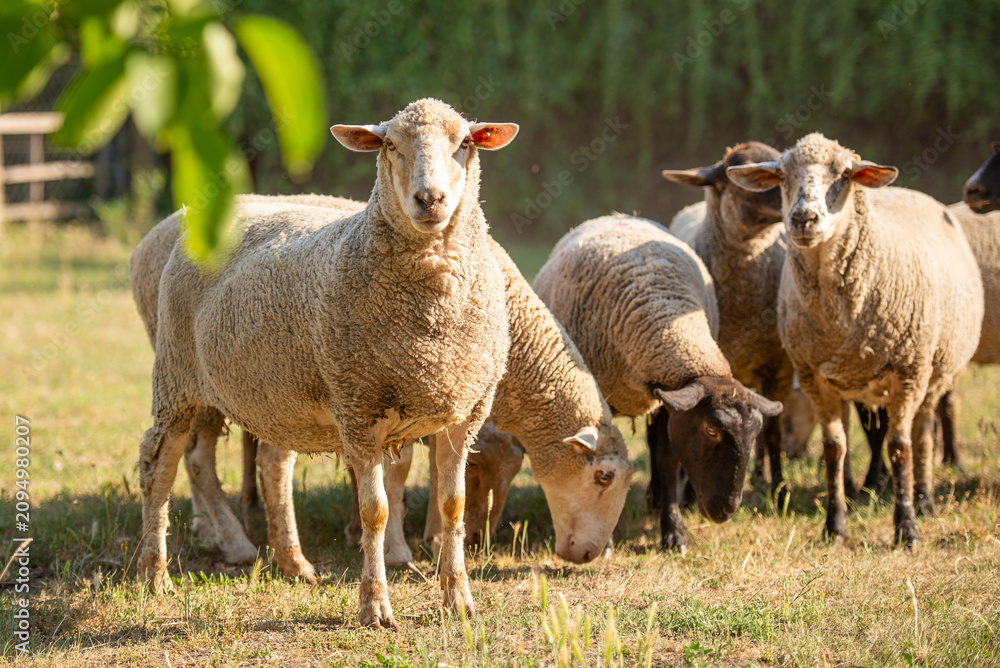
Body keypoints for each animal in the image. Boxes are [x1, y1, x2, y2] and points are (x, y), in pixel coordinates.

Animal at [135, 98, 519, 629]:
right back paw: (155, 574)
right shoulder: (358, 409)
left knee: (272, 467)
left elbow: (453, 506)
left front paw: (458, 598)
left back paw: (293, 563)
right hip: (176, 377)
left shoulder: (464, 413)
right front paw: (375, 606)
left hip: (278, 393)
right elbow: (376, 511)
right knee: (160, 466)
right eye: (390, 145)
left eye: (464, 142)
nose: (430, 199)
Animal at [533, 214, 783, 551]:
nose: (727, 511)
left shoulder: (670, 405)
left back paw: (655, 497)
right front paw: (605, 540)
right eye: (711, 430)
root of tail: (616, 215)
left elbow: (667, 460)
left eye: (756, 433)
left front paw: (674, 533)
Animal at [728, 133, 984, 546]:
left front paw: (906, 527)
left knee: (923, 433)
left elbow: (900, 448)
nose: (803, 219)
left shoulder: (908, 372)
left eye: (845, 174)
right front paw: (835, 525)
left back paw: (925, 498)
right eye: (781, 175)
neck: (840, 318)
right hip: (858, 381)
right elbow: (834, 448)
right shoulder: (814, 377)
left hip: (931, 372)